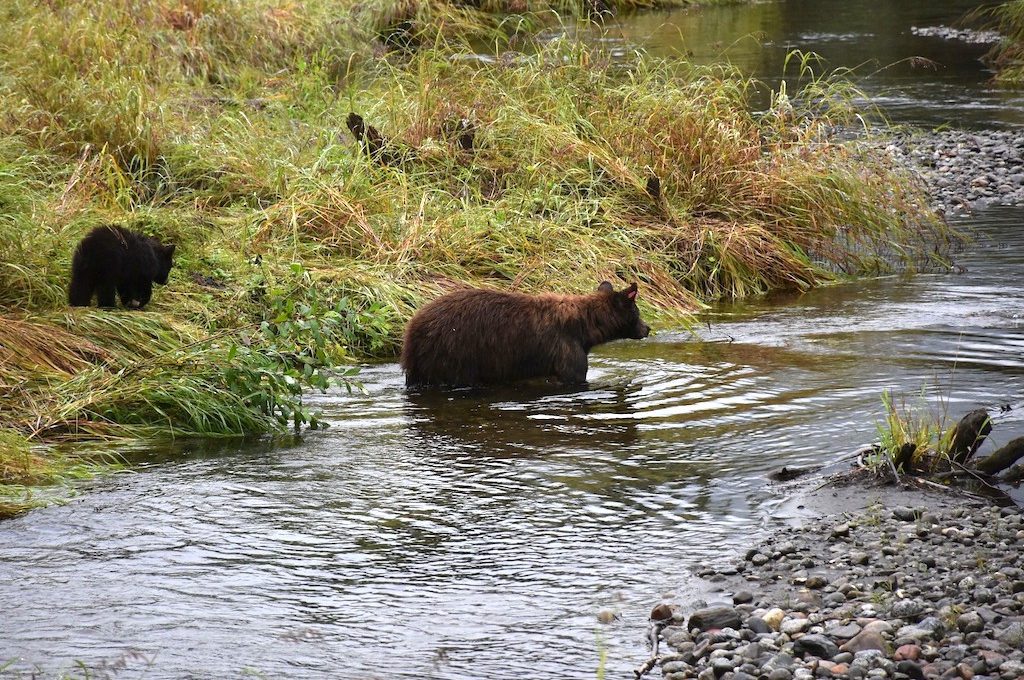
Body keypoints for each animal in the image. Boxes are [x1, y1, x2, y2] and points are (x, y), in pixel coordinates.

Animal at [397, 280, 647, 387]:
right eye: (637, 312)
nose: (647, 328)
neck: (584, 326)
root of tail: (411, 332)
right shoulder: (566, 347)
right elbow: (573, 375)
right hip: (453, 353)